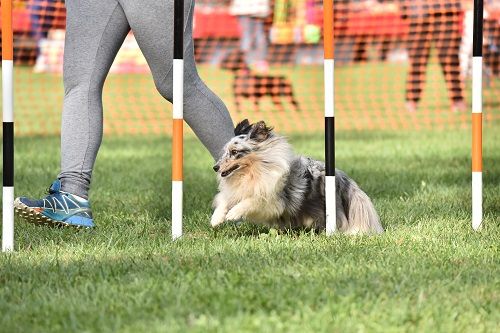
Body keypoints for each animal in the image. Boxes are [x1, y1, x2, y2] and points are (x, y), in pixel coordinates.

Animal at [210, 119, 382, 233]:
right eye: (225, 151)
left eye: (234, 152)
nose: (215, 167)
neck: (252, 173)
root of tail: (343, 178)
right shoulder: (236, 191)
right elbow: (224, 200)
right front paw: (216, 219)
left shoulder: (273, 201)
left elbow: (251, 201)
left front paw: (233, 214)